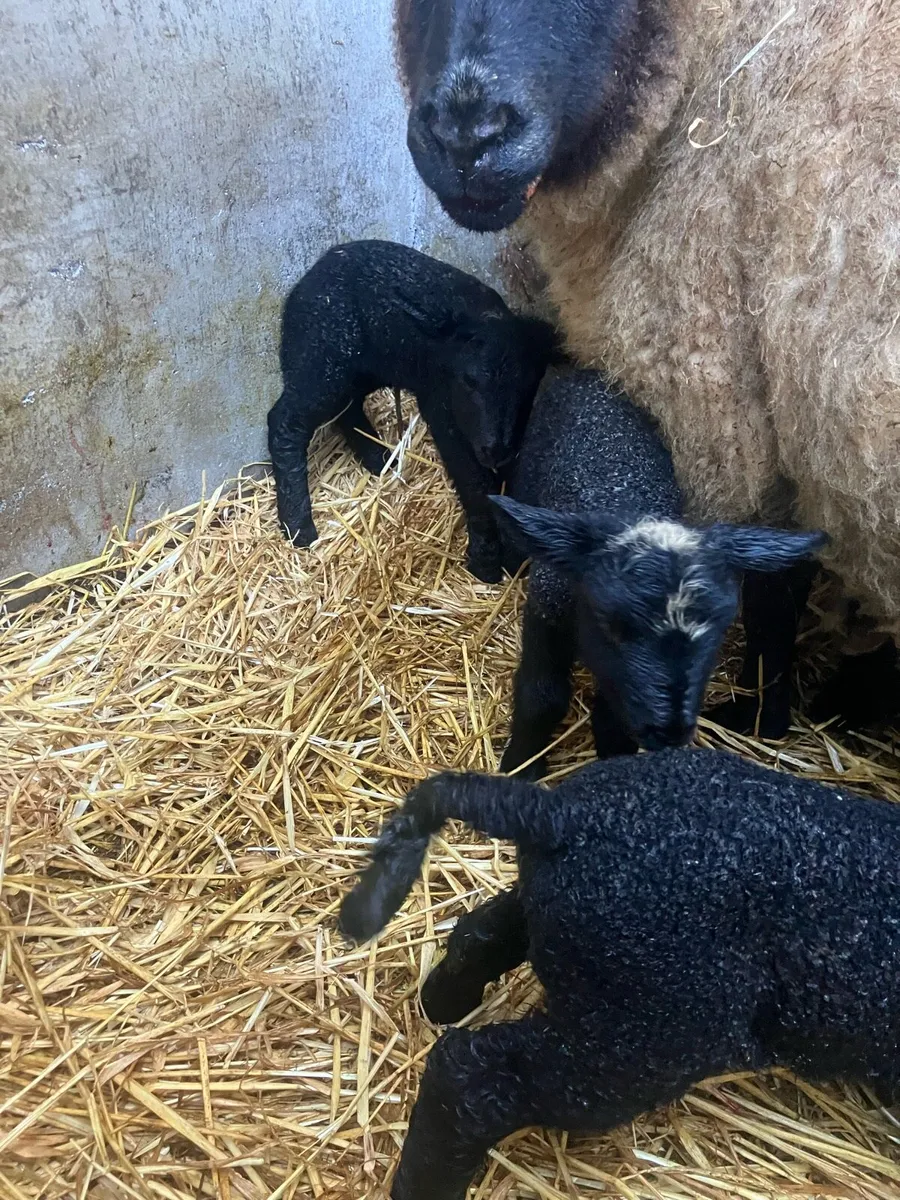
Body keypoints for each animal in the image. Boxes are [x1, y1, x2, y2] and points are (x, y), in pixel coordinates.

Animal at [266, 239, 558, 583]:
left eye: (527, 383)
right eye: (468, 380)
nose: (495, 448)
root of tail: (313, 272)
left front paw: (513, 557)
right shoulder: (441, 410)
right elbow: (473, 484)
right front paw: (485, 563)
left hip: (365, 366)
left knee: (348, 407)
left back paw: (379, 459)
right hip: (322, 359)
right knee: (286, 421)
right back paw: (298, 525)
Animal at [339, 747, 900, 1200]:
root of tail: (564, 816)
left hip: (564, 932)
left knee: (479, 934)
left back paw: (439, 1004)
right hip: (648, 1035)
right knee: (468, 1081)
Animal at [491, 370, 825, 773]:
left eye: (718, 630)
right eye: (612, 625)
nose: (670, 733)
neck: (622, 499)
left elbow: (611, 720)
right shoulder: (546, 608)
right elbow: (541, 697)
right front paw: (520, 765)